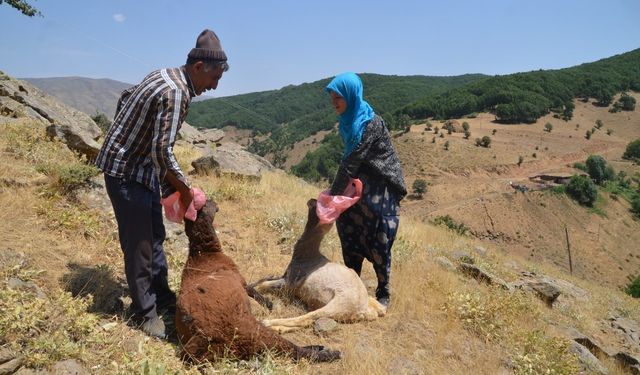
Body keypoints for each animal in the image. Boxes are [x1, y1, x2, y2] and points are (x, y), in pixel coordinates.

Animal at [170, 203, 340, 364]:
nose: (214, 203)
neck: (203, 254)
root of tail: (208, 338)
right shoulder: (241, 281)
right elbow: (253, 290)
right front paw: (268, 304)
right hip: (258, 333)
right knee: (296, 351)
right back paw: (329, 353)